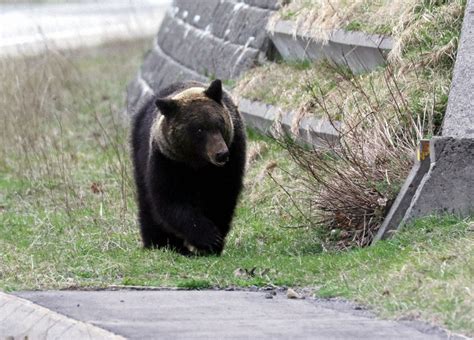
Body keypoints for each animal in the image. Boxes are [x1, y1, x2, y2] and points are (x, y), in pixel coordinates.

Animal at [131, 79, 246, 255]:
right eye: (199, 129)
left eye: (219, 123)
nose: (221, 154)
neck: (197, 164)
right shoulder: (168, 161)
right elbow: (170, 200)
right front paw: (208, 237)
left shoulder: (231, 159)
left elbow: (221, 197)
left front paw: (215, 242)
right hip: (139, 153)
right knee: (146, 203)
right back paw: (158, 242)